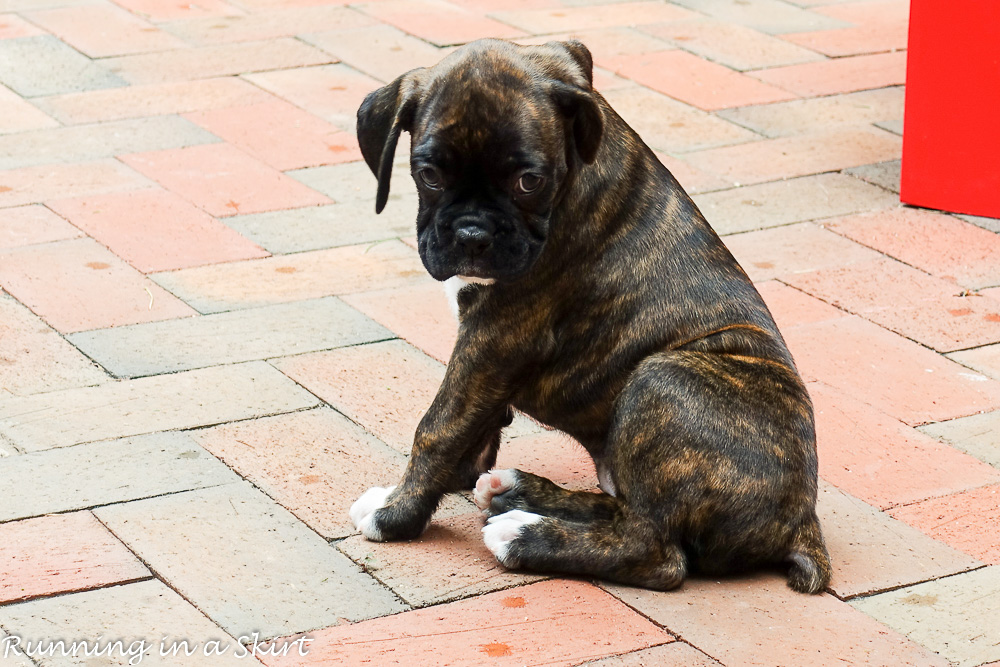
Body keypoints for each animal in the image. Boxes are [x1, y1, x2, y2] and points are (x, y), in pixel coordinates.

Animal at [348, 39, 832, 596]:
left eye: (528, 181)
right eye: (429, 176)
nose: (472, 236)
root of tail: (801, 523)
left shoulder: (497, 336)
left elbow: (438, 427)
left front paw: (396, 514)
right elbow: (473, 424)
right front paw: (457, 478)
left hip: (662, 377)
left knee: (658, 551)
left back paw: (523, 536)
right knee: (623, 509)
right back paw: (518, 494)